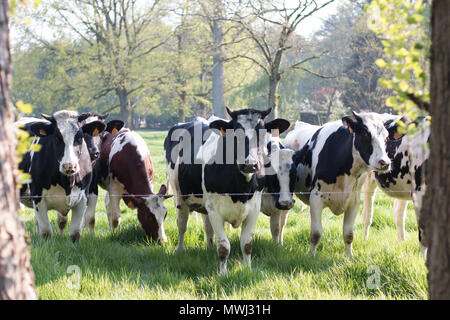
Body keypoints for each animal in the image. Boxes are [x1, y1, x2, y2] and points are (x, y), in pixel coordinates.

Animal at [16, 109, 106, 240]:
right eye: (57, 137)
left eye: (79, 137)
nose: (69, 165)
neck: (67, 182)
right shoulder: (37, 196)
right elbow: (46, 232)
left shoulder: (84, 197)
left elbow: (75, 233)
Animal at [164, 108, 288, 276]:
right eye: (234, 134)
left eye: (263, 134)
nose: (250, 164)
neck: (240, 190)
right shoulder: (215, 211)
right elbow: (223, 246)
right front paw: (223, 274)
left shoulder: (253, 208)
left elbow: (247, 243)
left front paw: (247, 269)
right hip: (179, 197)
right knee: (182, 225)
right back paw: (180, 250)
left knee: (207, 228)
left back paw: (209, 248)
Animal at [288, 111, 390, 256]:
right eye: (365, 133)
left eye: (386, 137)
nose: (385, 162)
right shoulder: (316, 198)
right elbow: (316, 233)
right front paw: (311, 256)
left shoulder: (354, 201)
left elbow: (348, 234)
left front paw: (349, 256)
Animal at [360, 115, 430, 248]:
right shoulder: (419, 191)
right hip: (367, 180)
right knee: (367, 214)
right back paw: (364, 240)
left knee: (398, 215)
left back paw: (402, 242)